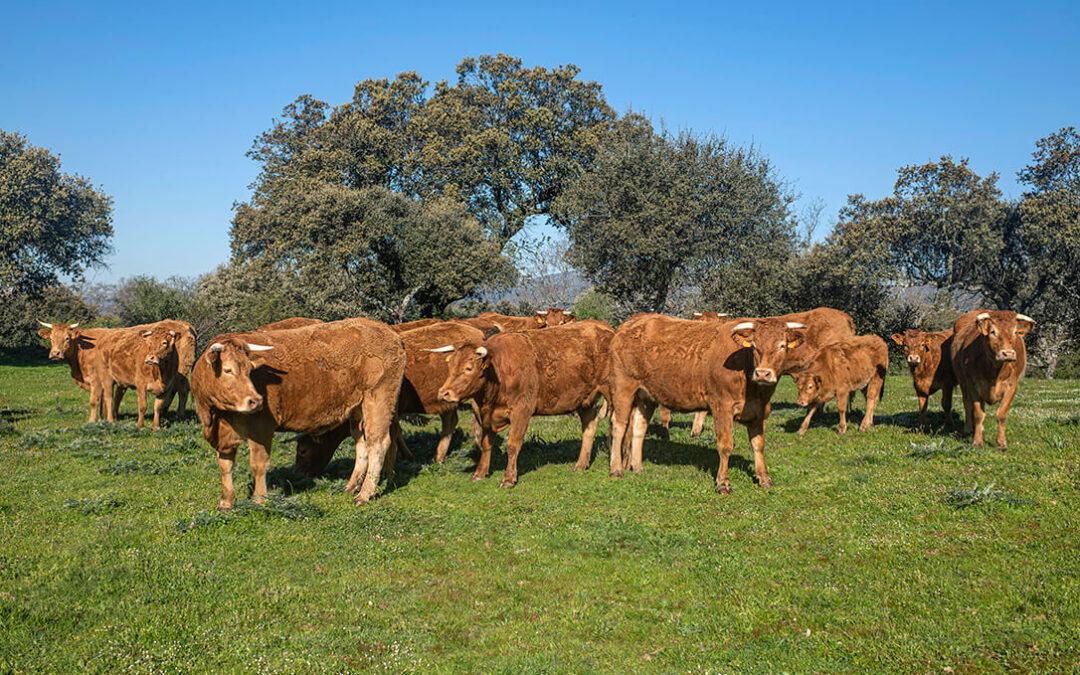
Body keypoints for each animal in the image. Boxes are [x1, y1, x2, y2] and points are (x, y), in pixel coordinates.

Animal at [191, 315, 406, 505]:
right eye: (227, 370)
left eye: (249, 370)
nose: (256, 401)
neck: (218, 417)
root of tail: (385, 329)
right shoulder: (222, 437)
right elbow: (225, 466)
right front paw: (226, 503)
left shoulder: (261, 429)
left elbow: (258, 464)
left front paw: (259, 499)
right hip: (357, 410)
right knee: (362, 444)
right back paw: (351, 487)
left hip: (378, 400)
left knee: (378, 444)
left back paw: (364, 494)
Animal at [432, 319, 617, 483]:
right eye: (450, 366)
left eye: (468, 368)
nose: (444, 393)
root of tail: (605, 327)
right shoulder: (487, 415)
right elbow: (486, 444)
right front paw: (480, 473)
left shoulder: (522, 411)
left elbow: (512, 445)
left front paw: (508, 478)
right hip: (585, 400)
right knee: (589, 427)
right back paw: (581, 464)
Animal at [609, 313, 803, 492]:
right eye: (754, 346)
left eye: (782, 345)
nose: (763, 373)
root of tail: (634, 321)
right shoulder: (721, 407)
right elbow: (725, 445)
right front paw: (723, 483)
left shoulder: (759, 411)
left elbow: (758, 444)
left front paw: (764, 478)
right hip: (623, 387)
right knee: (619, 426)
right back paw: (616, 470)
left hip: (646, 397)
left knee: (638, 428)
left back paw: (638, 467)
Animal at [950, 308, 1032, 447]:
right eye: (993, 331)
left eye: (1015, 332)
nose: (1008, 354)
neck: (995, 371)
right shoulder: (972, 384)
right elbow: (978, 414)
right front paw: (977, 441)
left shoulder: (1012, 385)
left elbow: (1002, 414)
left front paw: (1001, 443)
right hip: (963, 382)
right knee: (967, 405)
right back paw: (968, 429)